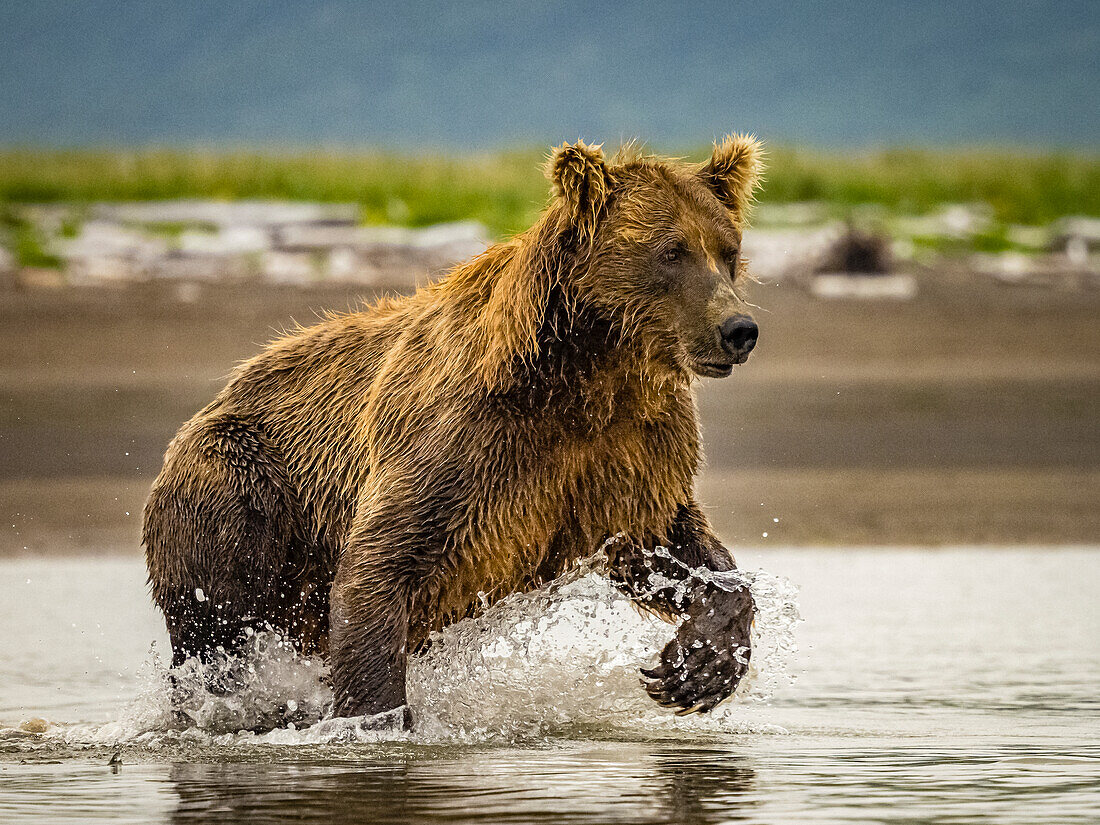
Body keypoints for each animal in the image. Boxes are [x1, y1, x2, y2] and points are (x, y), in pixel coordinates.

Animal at [141, 135, 765, 721]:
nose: (739, 328)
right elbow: (378, 566)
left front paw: (698, 664)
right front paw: (375, 717)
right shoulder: (463, 440)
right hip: (241, 486)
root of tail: (223, 391)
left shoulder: (628, 453)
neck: (590, 371)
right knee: (221, 621)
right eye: (671, 252)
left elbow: (668, 545)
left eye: (728, 251)